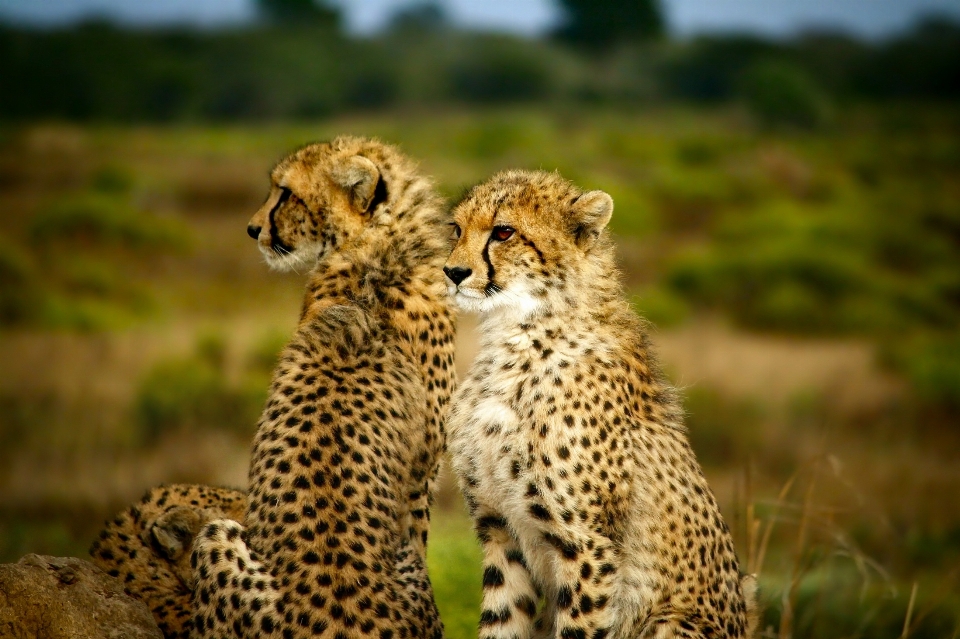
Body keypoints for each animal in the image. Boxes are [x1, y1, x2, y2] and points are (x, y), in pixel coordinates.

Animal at [446, 170, 760, 639]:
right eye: (456, 229)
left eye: (503, 232)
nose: (452, 271)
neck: (516, 334)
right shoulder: (499, 531)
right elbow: (502, 621)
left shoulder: (587, 546)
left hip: (671, 622)